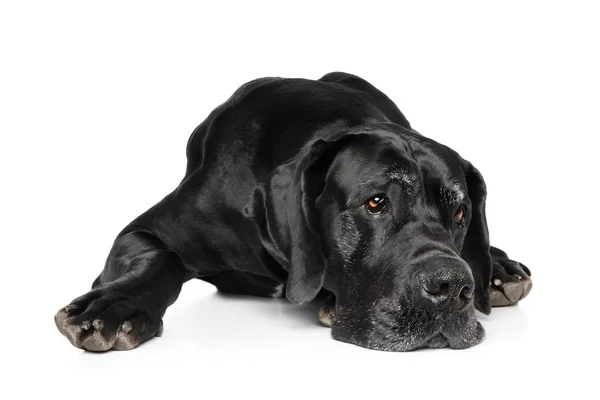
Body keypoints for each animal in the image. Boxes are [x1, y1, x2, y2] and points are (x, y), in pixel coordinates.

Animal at [54, 73, 532, 352]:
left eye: (460, 213)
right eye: (376, 202)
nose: (452, 287)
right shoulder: (144, 231)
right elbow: (161, 258)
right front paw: (115, 306)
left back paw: (500, 268)